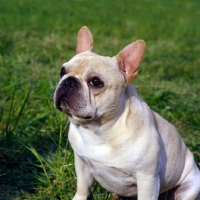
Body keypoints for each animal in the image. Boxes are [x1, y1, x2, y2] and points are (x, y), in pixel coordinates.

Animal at [53, 26, 200, 198]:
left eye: (95, 82)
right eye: (62, 71)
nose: (69, 81)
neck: (97, 131)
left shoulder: (147, 179)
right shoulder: (81, 163)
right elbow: (82, 187)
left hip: (189, 188)